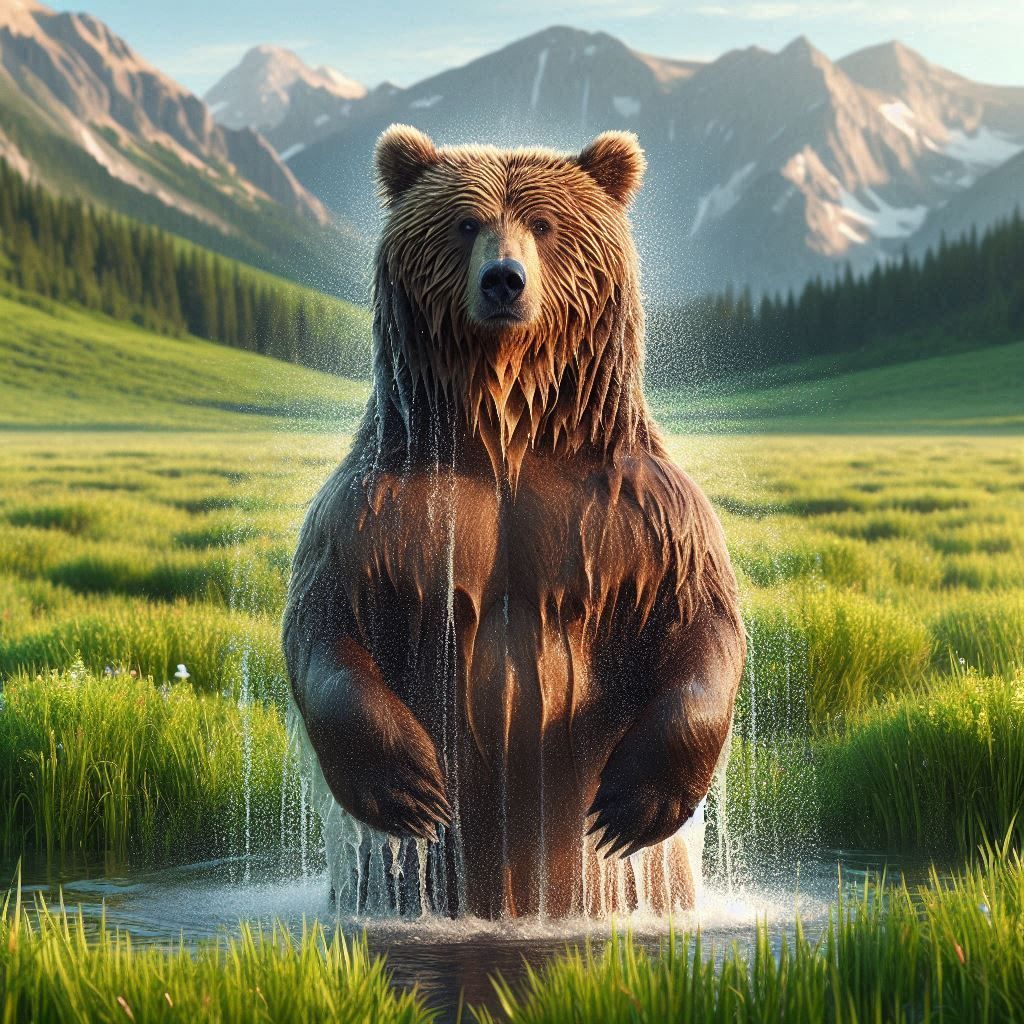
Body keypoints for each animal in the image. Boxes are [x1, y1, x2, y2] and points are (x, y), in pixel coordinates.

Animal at [282, 125, 746, 919]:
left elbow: (700, 621)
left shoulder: (643, 511)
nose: (504, 280)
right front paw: (409, 786)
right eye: (466, 223)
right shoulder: (377, 507)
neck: (507, 430)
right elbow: (327, 622)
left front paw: (632, 804)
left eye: (546, 223)